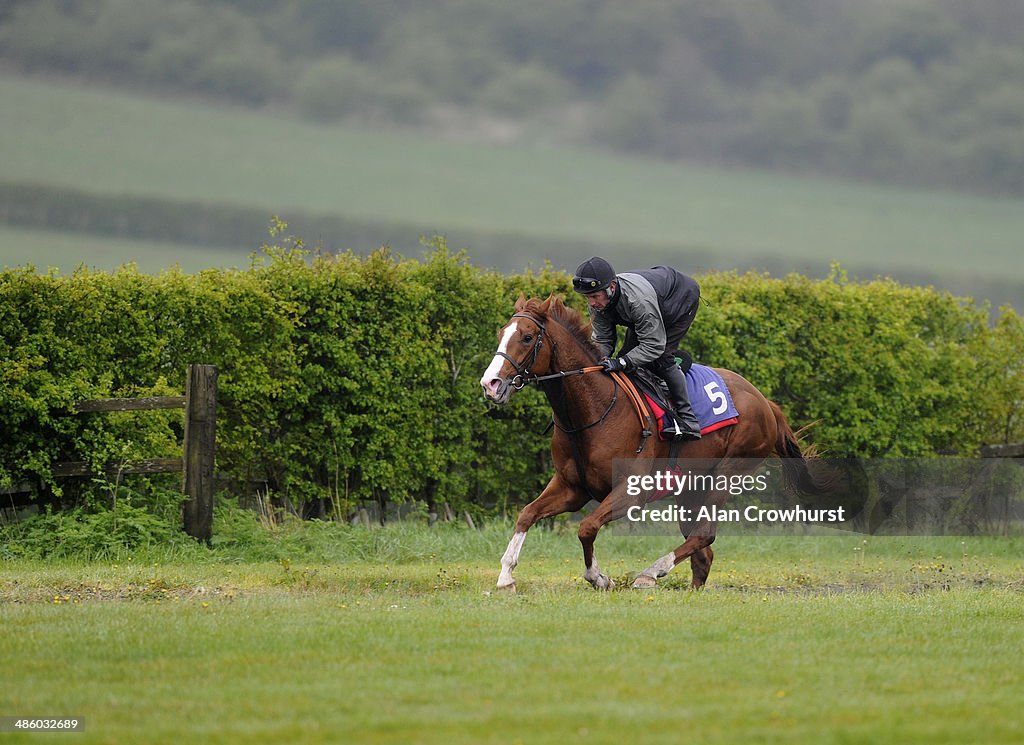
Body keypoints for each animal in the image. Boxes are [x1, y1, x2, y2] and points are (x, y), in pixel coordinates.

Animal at [481, 294, 831, 589]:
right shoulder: (571, 487)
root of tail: (767, 404)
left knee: (704, 537)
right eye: (500, 334)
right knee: (703, 553)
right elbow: (527, 514)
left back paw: (650, 573)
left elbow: (586, 527)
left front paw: (599, 578)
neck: (593, 410)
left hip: (727, 473)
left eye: (527, 337)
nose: (490, 384)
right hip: (692, 488)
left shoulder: (631, 491)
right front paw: (506, 576)